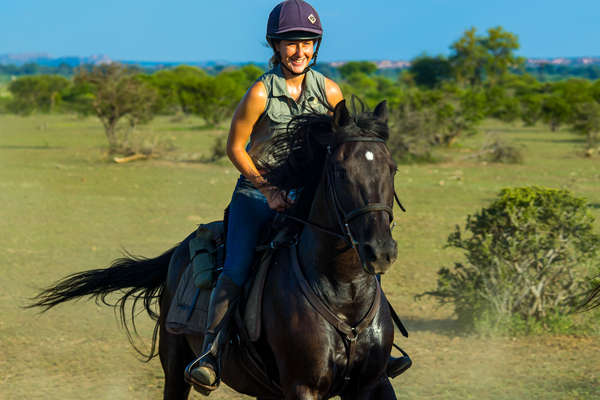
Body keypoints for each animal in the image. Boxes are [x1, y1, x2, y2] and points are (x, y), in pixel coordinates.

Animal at [34, 100, 408, 400]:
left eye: (392, 168)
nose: (380, 251)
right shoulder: (303, 387)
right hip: (175, 366)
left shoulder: (372, 384)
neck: (343, 292)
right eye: (341, 171)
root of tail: (181, 248)